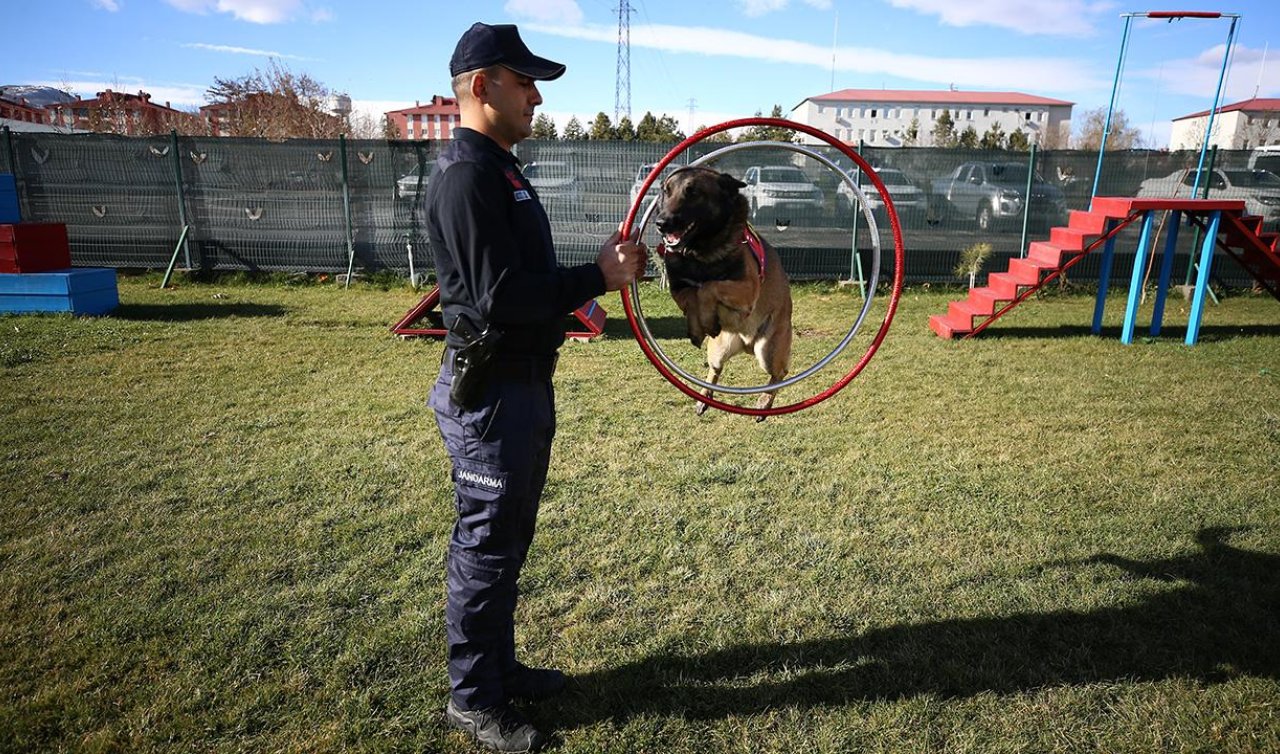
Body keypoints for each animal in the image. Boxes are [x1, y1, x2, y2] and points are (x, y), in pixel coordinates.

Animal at [660, 166, 788, 417]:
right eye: (666, 192)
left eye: (692, 192)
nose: (661, 222)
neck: (700, 253)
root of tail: (747, 345)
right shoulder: (678, 290)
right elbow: (693, 294)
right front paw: (698, 325)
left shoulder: (747, 288)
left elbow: (709, 287)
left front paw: (707, 316)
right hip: (719, 351)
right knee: (715, 370)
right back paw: (704, 397)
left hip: (768, 350)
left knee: (780, 373)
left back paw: (764, 402)